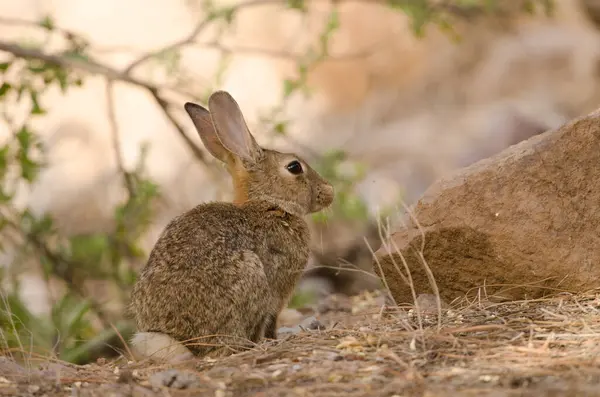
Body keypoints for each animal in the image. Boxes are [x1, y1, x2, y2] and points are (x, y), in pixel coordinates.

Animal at [129, 90, 336, 362]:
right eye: (294, 167)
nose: (329, 191)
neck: (269, 203)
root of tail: (182, 340)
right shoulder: (276, 293)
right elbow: (271, 321)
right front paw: (275, 339)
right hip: (249, 274)